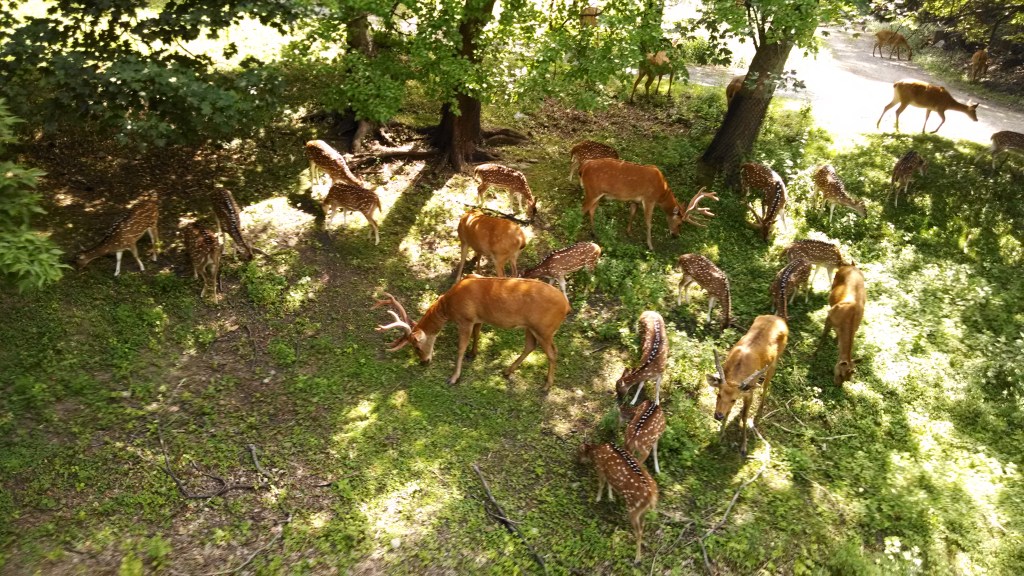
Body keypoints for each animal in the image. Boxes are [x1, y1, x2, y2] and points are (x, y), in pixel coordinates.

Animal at [373, 276, 570, 388]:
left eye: (416, 347)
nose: (424, 361)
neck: (448, 307)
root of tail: (567, 306)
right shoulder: (478, 318)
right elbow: (477, 334)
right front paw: (473, 353)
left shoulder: (465, 319)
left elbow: (460, 347)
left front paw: (453, 378)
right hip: (531, 327)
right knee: (531, 346)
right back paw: (507, 371)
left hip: (544, 328)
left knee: (552, 353)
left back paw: (546, 386)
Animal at [580, 158, 718, 250]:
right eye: (679, 223)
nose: (676, 235)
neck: (662, 192)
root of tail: (583, 167)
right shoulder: (649, 199)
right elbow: (648, 222)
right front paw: (650, 246)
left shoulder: (635, 200)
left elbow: (632, 213)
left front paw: (629, 232)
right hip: (592, 191)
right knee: (582, 209)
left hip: (599, 195)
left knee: (591, 210)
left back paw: (594, 233)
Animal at [706, 314, 788, 457]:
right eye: (718, 394)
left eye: (734, 399)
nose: (718, 416)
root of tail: (779, 318)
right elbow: (729, 412)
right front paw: (720, 435)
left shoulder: (749, 392)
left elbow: (745, 416)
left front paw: (744, 447)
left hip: (775, 362)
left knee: (766, 386)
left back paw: (760, 411)